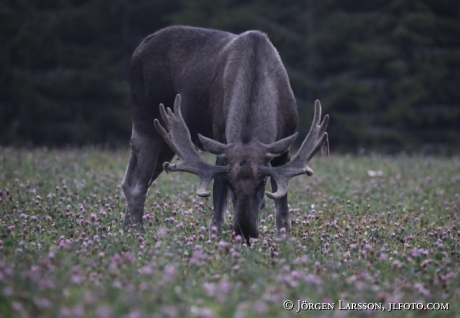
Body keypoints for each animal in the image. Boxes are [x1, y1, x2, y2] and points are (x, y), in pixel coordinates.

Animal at [122, 26, 328, 242]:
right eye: (230, 184)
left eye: (261, 183)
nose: (245, 232)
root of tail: (140, 47)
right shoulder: (221, 147)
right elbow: (218, 212)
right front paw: (215, 241)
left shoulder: (283, 149)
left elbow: (282, 210)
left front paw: (284, 240)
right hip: (144, 118)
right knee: (136, 184)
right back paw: (136, 232)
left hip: (166, 140)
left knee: (134, 180)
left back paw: (127, 230)